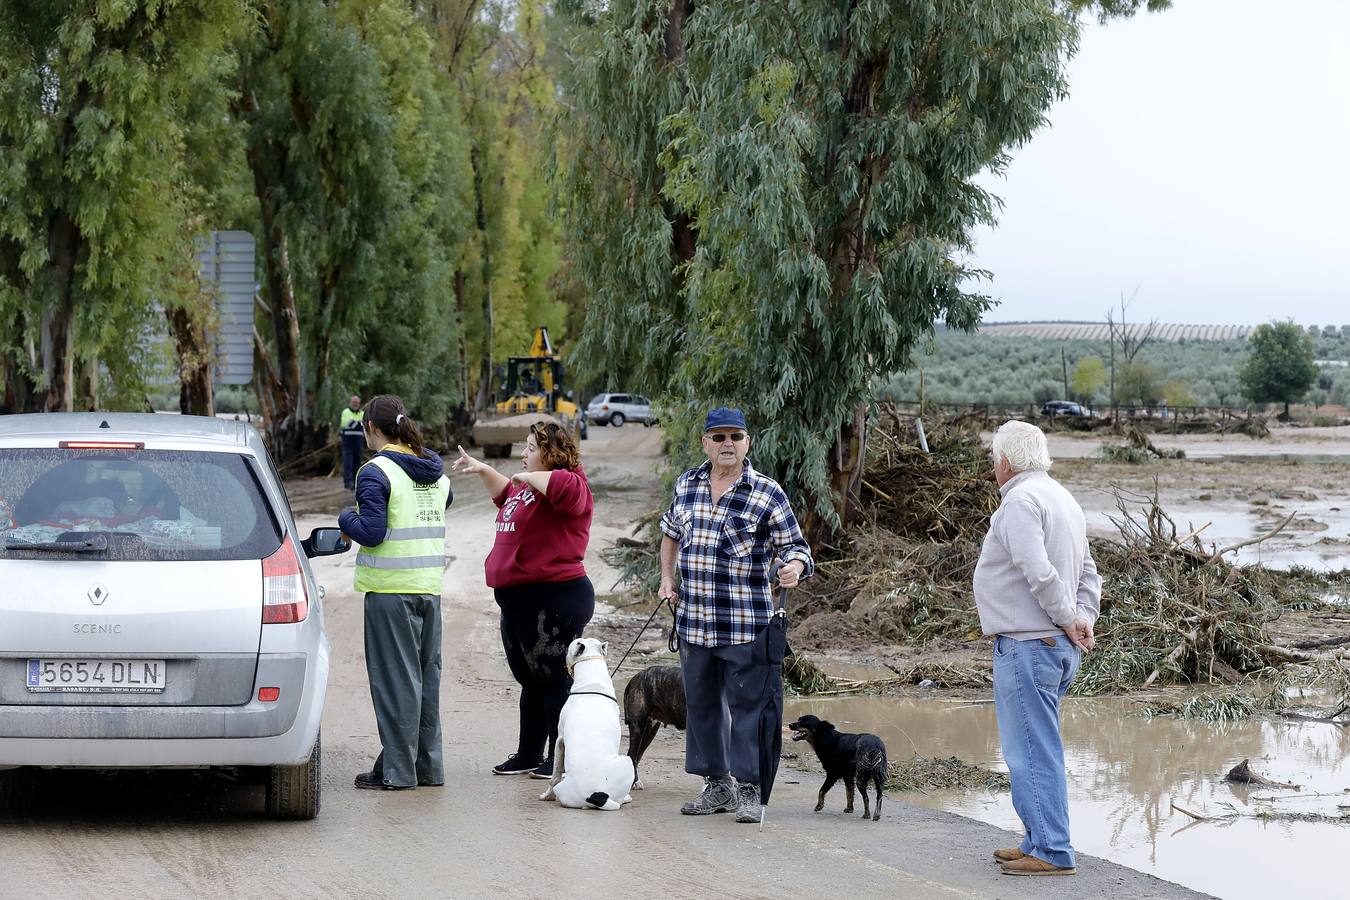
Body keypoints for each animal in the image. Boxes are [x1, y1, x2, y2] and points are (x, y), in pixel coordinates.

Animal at [537, 636, 637, 814]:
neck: (592, 680)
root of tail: (595, 795)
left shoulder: (559, 741)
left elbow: (555, 775)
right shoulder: (560, 741)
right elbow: (555, 775)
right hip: (627, 762)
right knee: (617, 800)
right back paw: (625, 798)